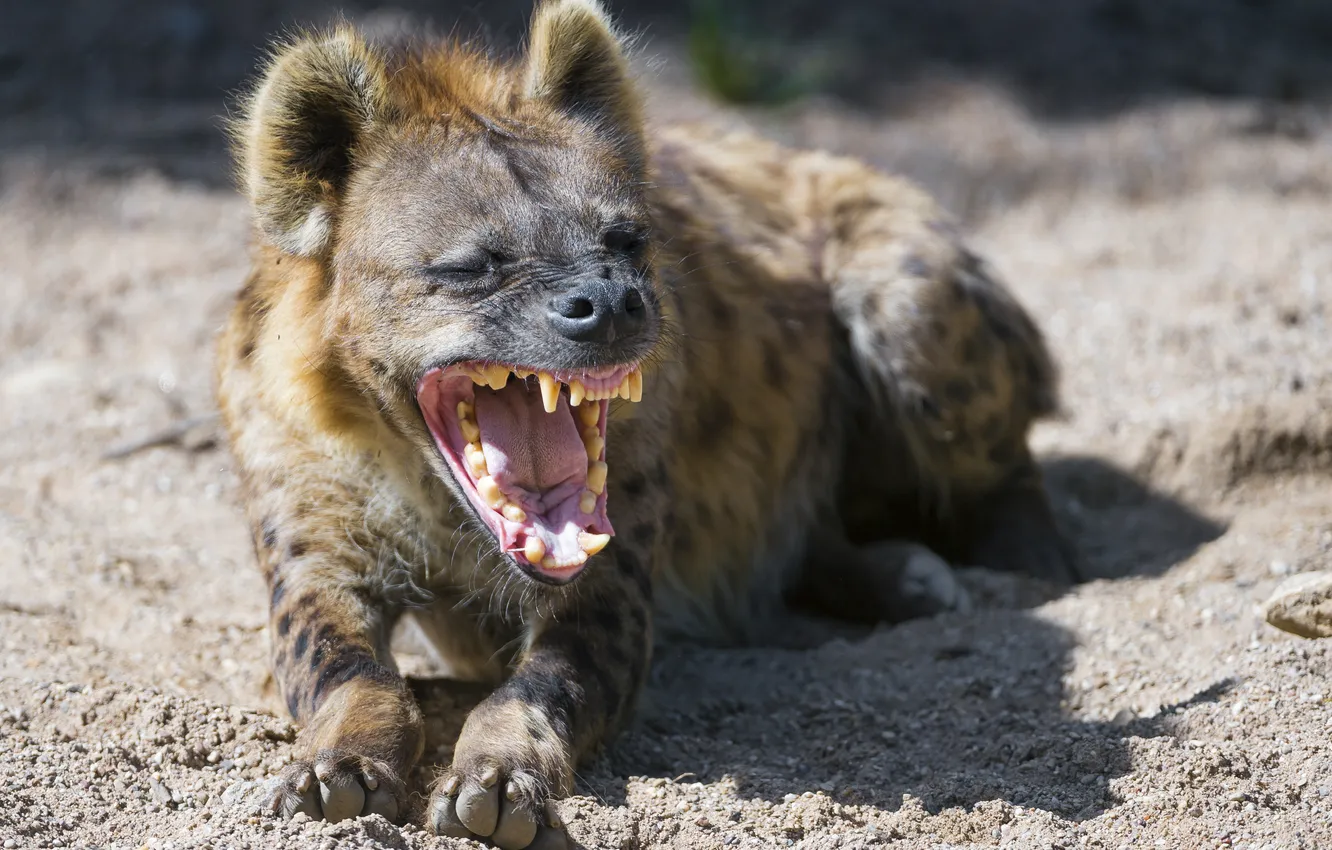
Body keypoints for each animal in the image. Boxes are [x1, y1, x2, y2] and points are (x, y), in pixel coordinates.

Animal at [215, 1, 1076, 847]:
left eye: (626, 239)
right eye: (470, 268)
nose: (610, 301)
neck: (428, 495)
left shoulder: (614, 557)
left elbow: (551, 678)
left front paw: (499, 782)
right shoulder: (302, 511)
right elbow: (337, 664)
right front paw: (336, 771)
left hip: (903, 290)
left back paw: (1011, 567)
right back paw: (907, 575)